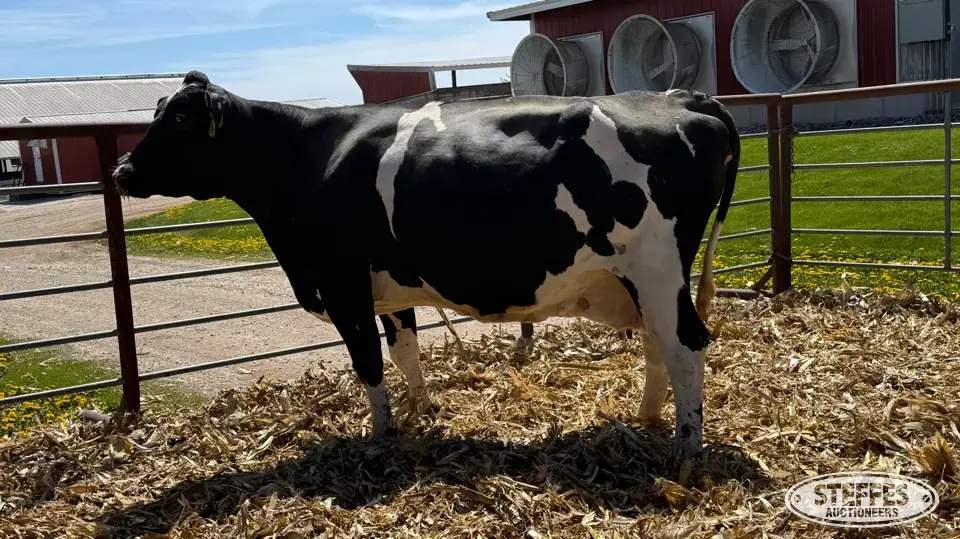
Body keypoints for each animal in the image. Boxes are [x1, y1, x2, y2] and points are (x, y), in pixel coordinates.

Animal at [113, 71, 739, 458]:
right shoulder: (387, 288)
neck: (302, 158)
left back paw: (686, 447)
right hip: (644, 280)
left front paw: (379, 434)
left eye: (178, 120)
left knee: (686, 344)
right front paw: (421, 413)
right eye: (158, 112)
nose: (121, 171)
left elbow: (367, 363)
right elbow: (405, 351)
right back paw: (649, 418)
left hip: (657, 267)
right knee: (660, 343)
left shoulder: (341, 284)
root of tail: (683, 97)